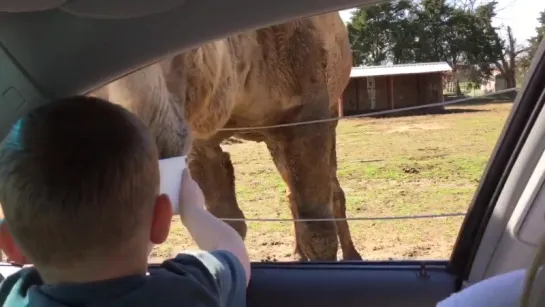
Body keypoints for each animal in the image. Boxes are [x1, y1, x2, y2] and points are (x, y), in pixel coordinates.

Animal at [89, 12, 362, 262]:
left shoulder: (308, 111)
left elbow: (317, 228)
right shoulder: (201, 134)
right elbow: (227, 220)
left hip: (329, 113)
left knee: (331, 187)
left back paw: (352, 255)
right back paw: (297, 255)